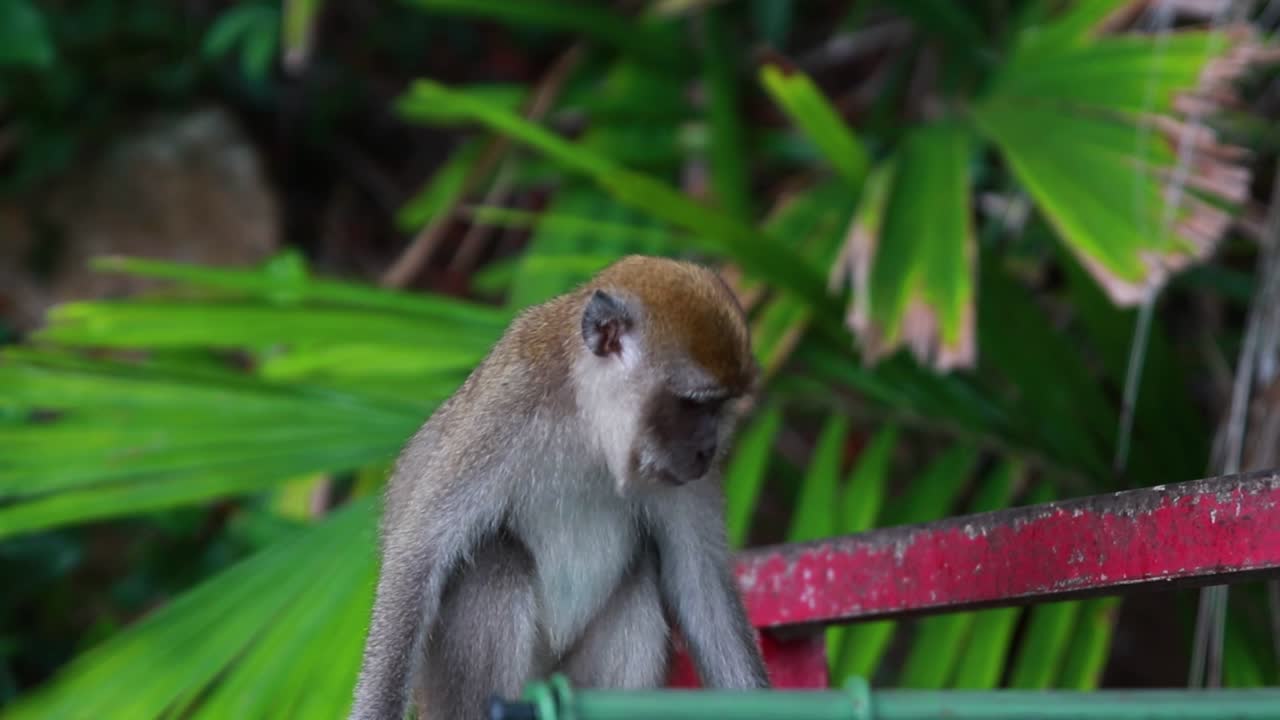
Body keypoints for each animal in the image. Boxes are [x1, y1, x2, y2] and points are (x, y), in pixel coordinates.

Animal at [349, 255, 771, 720]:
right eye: (693, 404)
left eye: (720, 407)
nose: (706, 450)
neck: (590, 430)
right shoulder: (508, 407)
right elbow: (419, 552)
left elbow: (702, 585)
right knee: (493, 562)